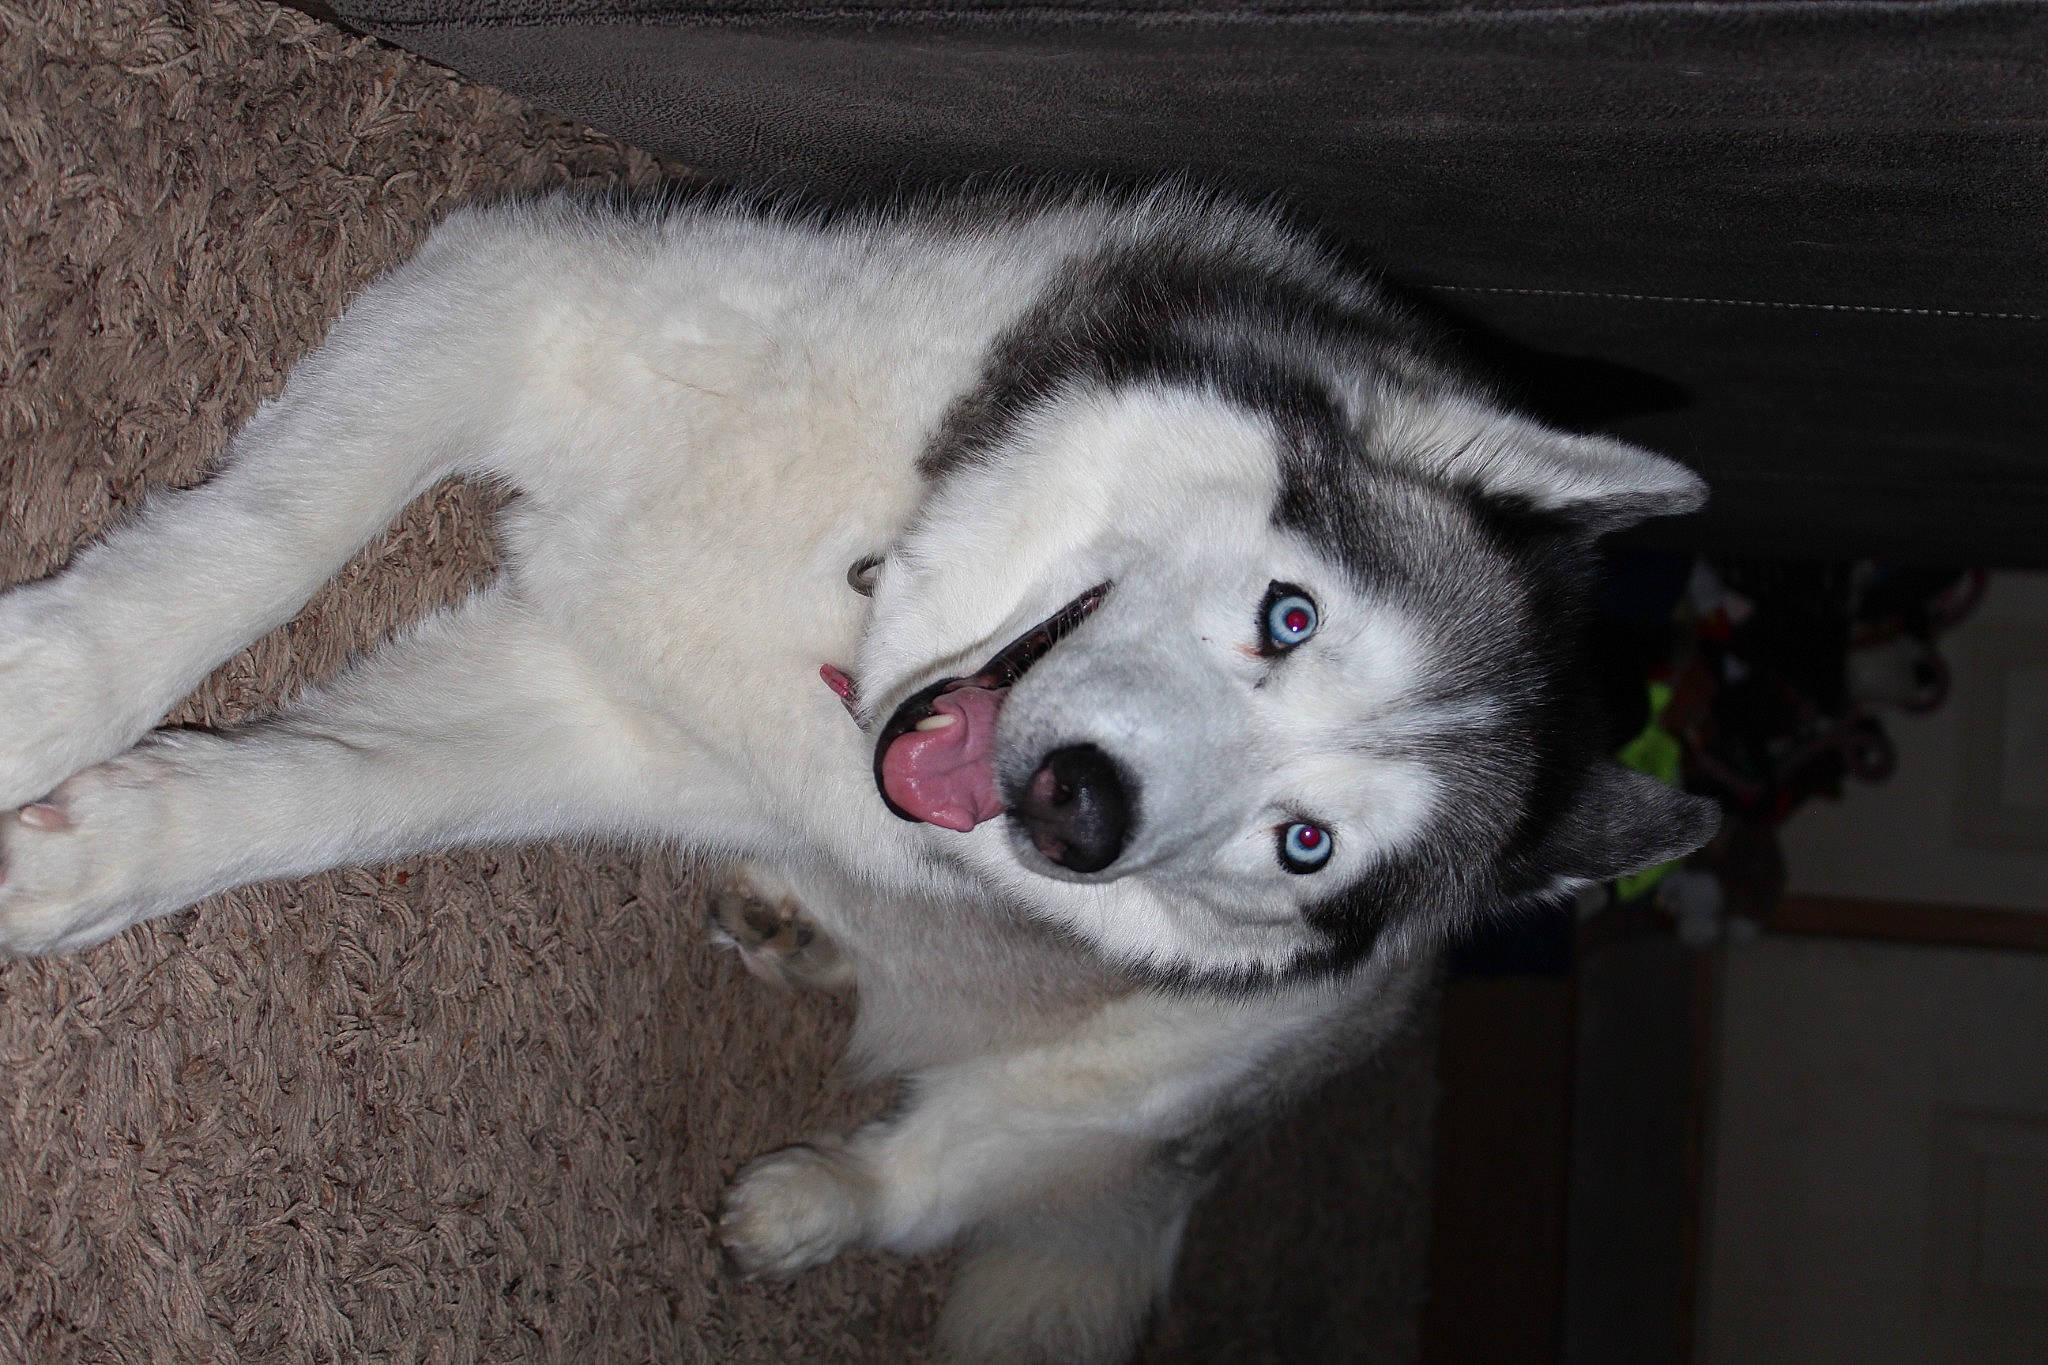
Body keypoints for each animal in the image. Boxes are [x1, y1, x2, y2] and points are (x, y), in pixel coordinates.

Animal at [0, 182, 1717, 1362]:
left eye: (1306, 844)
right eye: (1288, 616)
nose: (1080, 810)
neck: (860, 598)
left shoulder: (604, 714)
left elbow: (345, 788)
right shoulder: (527, 307)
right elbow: (269, 569)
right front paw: (67, 743)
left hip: (1177, 1065)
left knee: (970, 1162)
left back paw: (821, 1195)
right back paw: (801, 928)